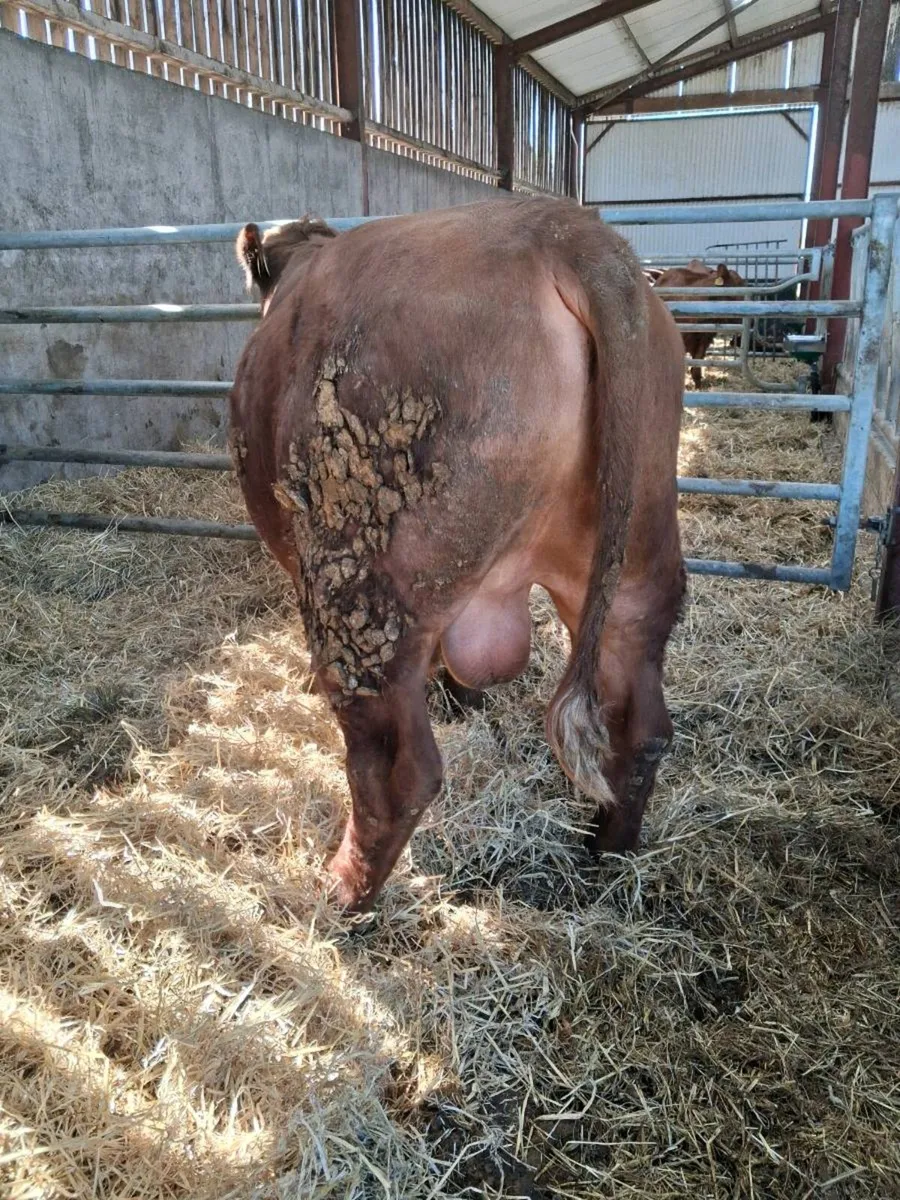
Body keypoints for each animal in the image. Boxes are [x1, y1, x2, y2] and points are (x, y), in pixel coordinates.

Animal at [229, 198, 686, 914]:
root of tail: (566, 231)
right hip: (636, 562)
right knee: (642, 727)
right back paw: (605, 849)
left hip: (364, 594)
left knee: (397, 769)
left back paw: (341, 895)